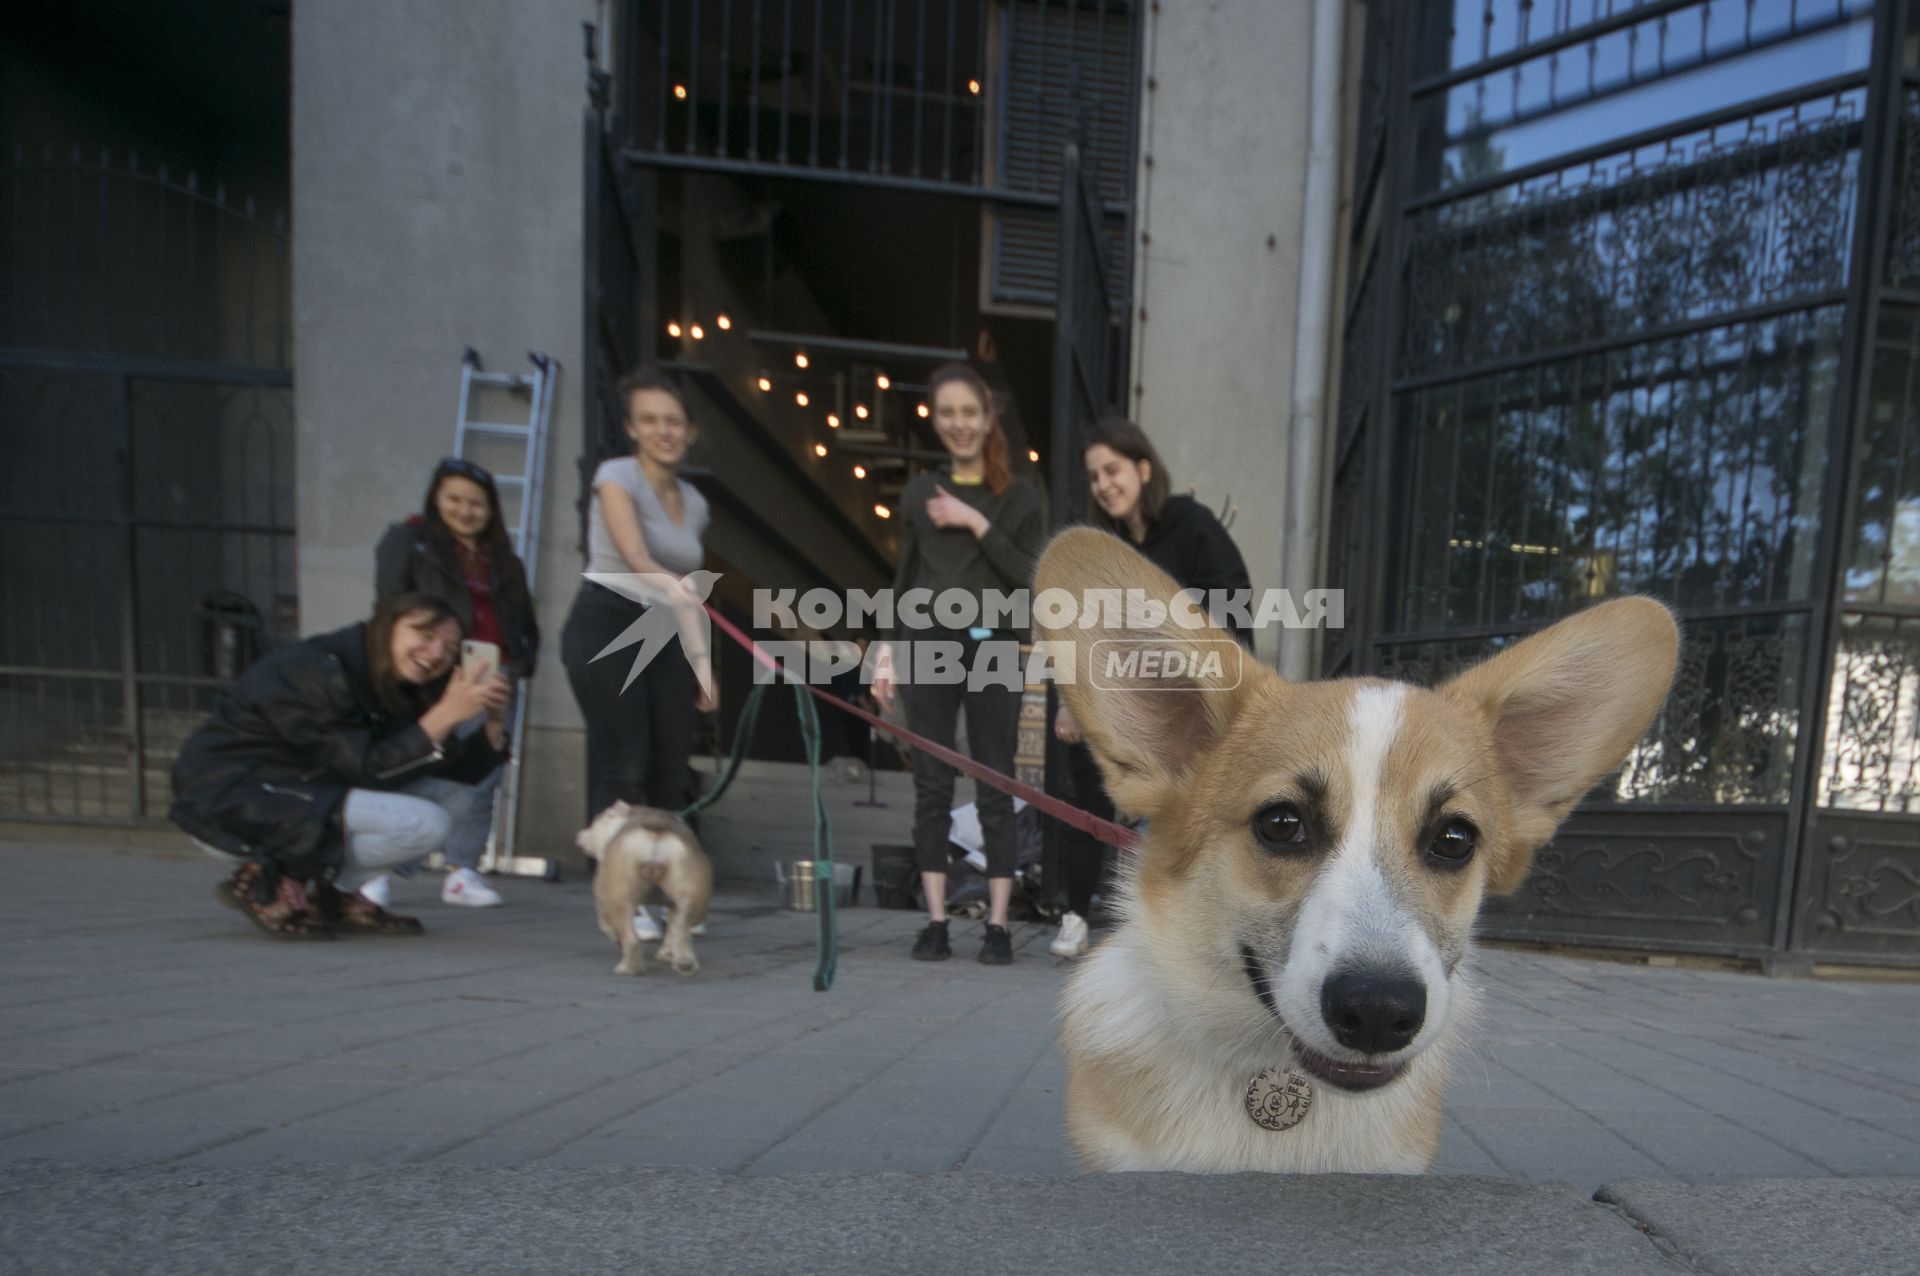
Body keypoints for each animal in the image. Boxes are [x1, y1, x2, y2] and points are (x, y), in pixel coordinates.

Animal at [579, 798, 718, 974]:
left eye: (595, 822)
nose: (580, 834)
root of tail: (655, 833)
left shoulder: (603, 901)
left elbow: (607, 927)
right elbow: (671, 927)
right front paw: (666, 954)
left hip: (617, 897)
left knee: (630, 936)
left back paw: (628, 967)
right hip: (691, 889)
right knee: (681, 926)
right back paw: (684, 963)